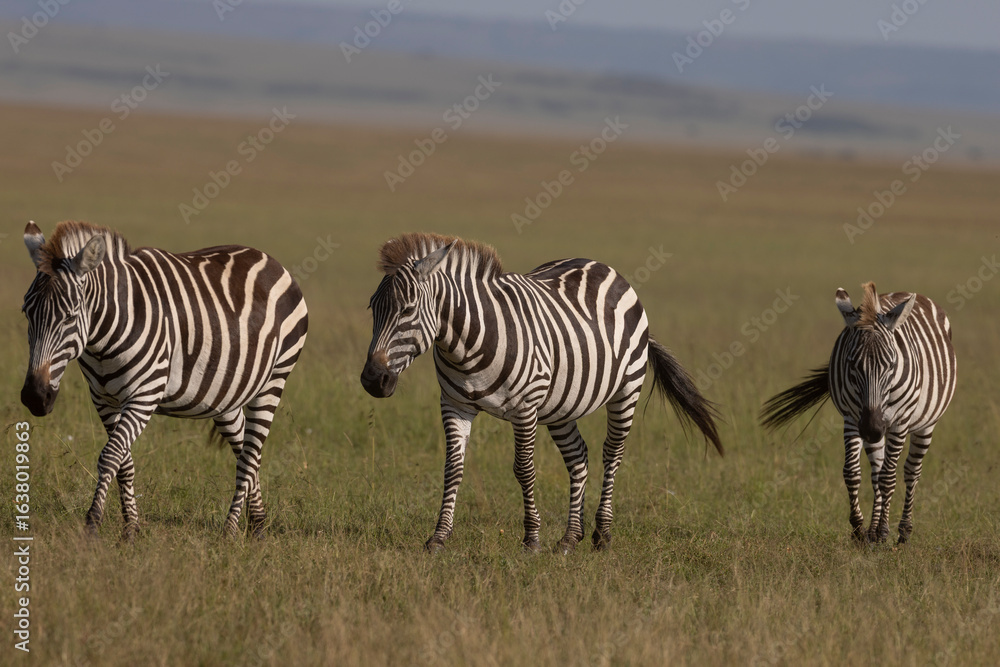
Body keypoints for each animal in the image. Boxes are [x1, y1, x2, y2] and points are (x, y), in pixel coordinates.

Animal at [20, 221, 308, 540]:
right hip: (226, 395)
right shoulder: (103, 399)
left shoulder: (144, 395)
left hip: (273, 381)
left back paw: (230, 530)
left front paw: (93, 523)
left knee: (249, 457)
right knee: (246, 448)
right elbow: (124, 462)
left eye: (70, 317)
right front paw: (131, 528)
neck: (103, 338)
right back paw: (257, 525)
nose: (35, 397)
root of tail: (269, 259)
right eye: (26, 312)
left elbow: (110, 456)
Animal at [360, 233, 723, 553]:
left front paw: (531, 540)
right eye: (372, 308)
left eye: (407, 310)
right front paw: (438, 538)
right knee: (579, 458)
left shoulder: (525, 407)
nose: (373, 380)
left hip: (626, 389)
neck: (466, 343)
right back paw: (570, 539)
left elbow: (524, 469)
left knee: (612, 454)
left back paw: (602, 535)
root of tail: (600, 265)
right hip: (561, 405)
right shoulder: (454, 404)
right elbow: (453, 468)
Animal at [760, 282, 956, 544]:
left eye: (892, 365)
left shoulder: (898, 422)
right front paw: (859, 529)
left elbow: (889, 478)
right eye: (852, 363)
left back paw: (903, 531)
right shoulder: (852, 418)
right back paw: (873, 530)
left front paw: (883, 531)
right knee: (877, 470)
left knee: (910, 472)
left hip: (925, 424)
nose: (872, 429)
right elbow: (852, 473)